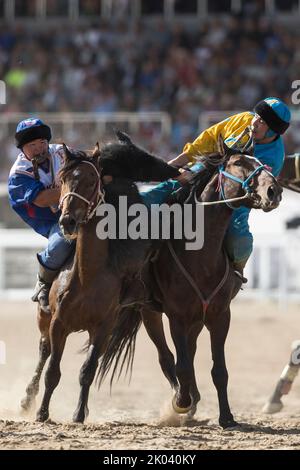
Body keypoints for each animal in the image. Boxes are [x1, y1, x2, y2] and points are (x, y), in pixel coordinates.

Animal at [21, 131, 180, 422]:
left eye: (92, 180)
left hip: (148, 312)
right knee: (43, 350)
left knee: (165, 355)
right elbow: (52, 371)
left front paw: (79, 414)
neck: (87, 277)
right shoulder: (58, 323)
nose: (68, 221)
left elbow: (87, 370)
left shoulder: (103, 327)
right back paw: (27, 399)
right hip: (44, 318)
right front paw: (42, 413)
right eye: (63, 180)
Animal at [99, 138, 284, 428]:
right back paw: (183, 398)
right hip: (150, 311)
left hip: (197, 317)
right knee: (167, 356)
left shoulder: (220, 315)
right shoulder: (177, 315)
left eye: (264, 164)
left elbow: (219, 370)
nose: (273, 191)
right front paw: (181, 402)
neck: (200, 255)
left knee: (191, 350)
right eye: (238, 162)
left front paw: (227, 417)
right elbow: (181, 365)